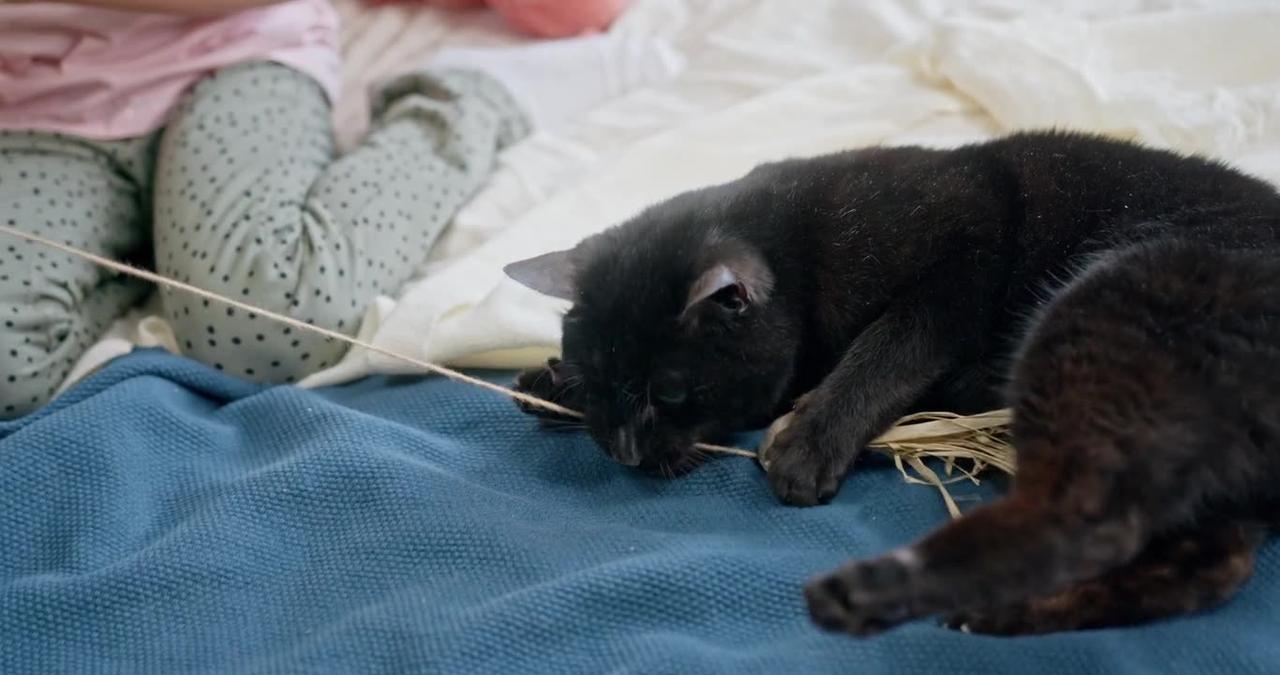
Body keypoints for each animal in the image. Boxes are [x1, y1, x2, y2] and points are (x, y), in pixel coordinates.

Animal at [499, 130, 1280, 635]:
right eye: (604, 385)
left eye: (669, 393)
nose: (625, 451)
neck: (801, 242)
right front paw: (553, 384)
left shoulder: (953, 279)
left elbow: (882, 354)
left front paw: (809, 442)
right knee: (1209, 567)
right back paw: (1005, 612)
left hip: (1095, 310)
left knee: (1091, 522)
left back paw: (880, 595)